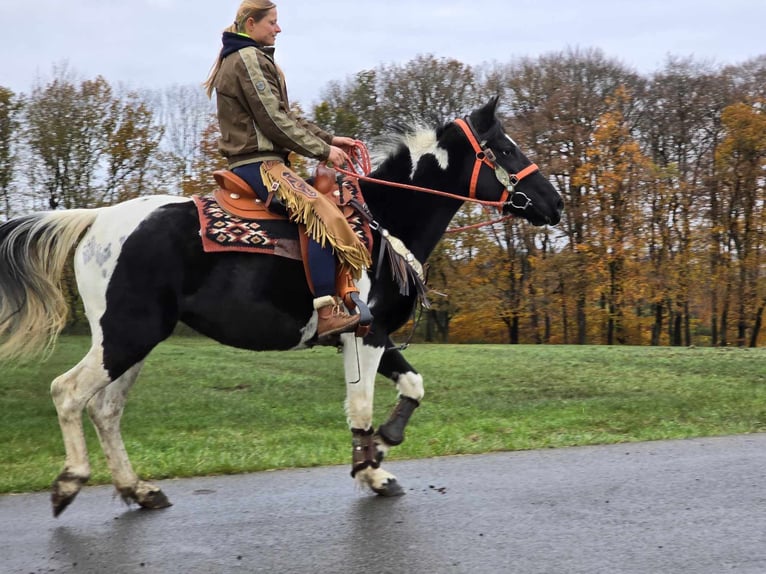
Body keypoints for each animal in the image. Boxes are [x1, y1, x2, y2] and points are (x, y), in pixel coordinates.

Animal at [0, 94, 564, 516]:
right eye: (504, 149)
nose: (554, 202)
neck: (382, 222)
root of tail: (98, 219)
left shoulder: (372, 334)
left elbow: (412, 387)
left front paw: (381, 448)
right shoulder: (363, 336)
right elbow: (362, 406)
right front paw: (372, 470)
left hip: (132, 342)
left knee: (106, 409)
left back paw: (138, 490)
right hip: (125, 336)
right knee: (69, 393)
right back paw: (71, 481)